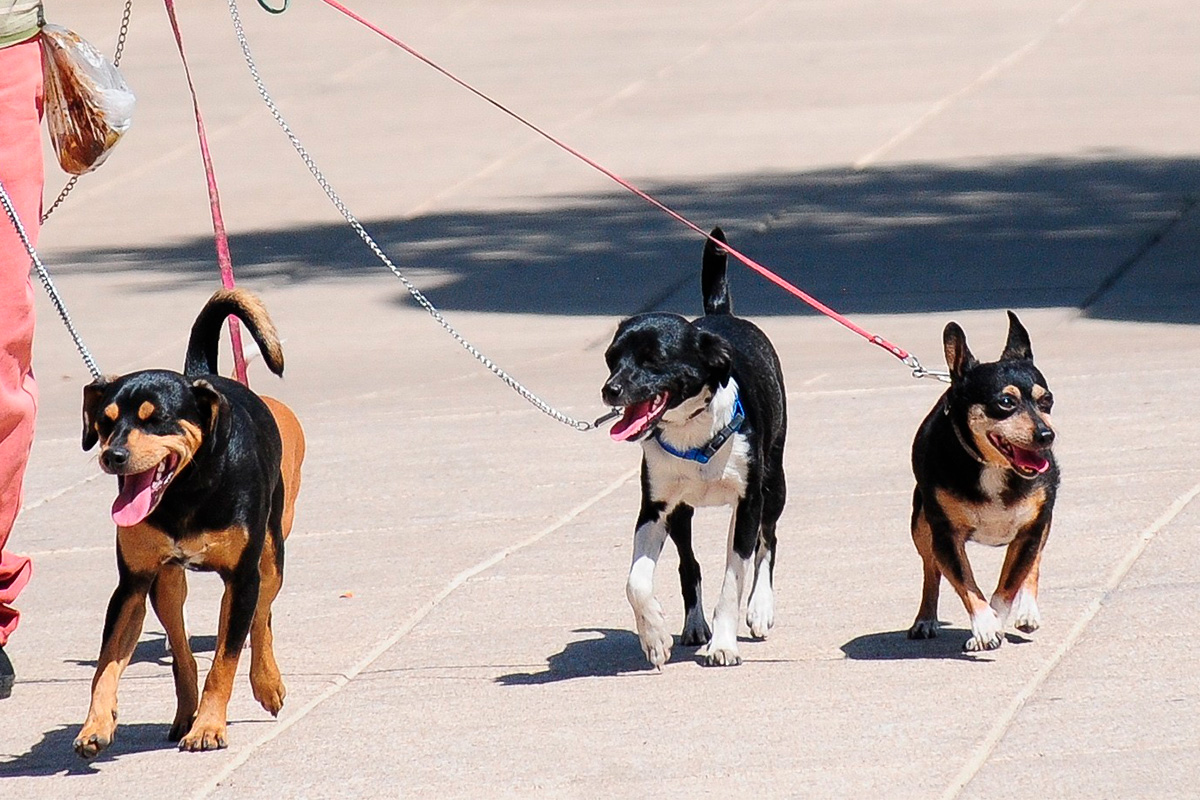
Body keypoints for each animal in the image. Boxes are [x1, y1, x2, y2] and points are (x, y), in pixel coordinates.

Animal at [73, 289, 304, 758]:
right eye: (105, 422)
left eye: (155, 418)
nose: (112, 456)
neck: (185, 493)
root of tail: (204, 378)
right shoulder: (132, 585)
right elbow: (106, 665)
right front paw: (96, 724)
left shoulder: (242, 578)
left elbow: (225, 660)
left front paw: (210, 727)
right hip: (166, 585)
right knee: (181, 652)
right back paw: (184, 714)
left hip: (271, 558)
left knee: (262, 619)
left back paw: (266, 683)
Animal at [600, 227, 787, 666]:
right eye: (612, 358)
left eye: (653, 359)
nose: (609, 390)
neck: (693, 431)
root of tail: (720, 315)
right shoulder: (655, 509)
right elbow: (636, 582)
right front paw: (653, 635)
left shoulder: (750, 500)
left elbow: (734, 580)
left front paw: (724, 643)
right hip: (682, 514)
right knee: (691, 565)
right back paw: (694, 625)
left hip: (774, 485)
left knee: (767, 543)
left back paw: (760, 608)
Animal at [912, 309, 1056, 652]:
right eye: (1006, 403)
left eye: (1047, 401)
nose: (1047, 435)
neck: (993, 467)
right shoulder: (945, 537)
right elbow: (965, 582)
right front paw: (985, 625)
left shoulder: (1031, 530)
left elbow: (1008, 585)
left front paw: (996, 621)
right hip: (921, 525)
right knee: (930, 571)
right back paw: (925, 619)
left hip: (1041, 525)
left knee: (1034, 562)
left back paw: (1027, 610)